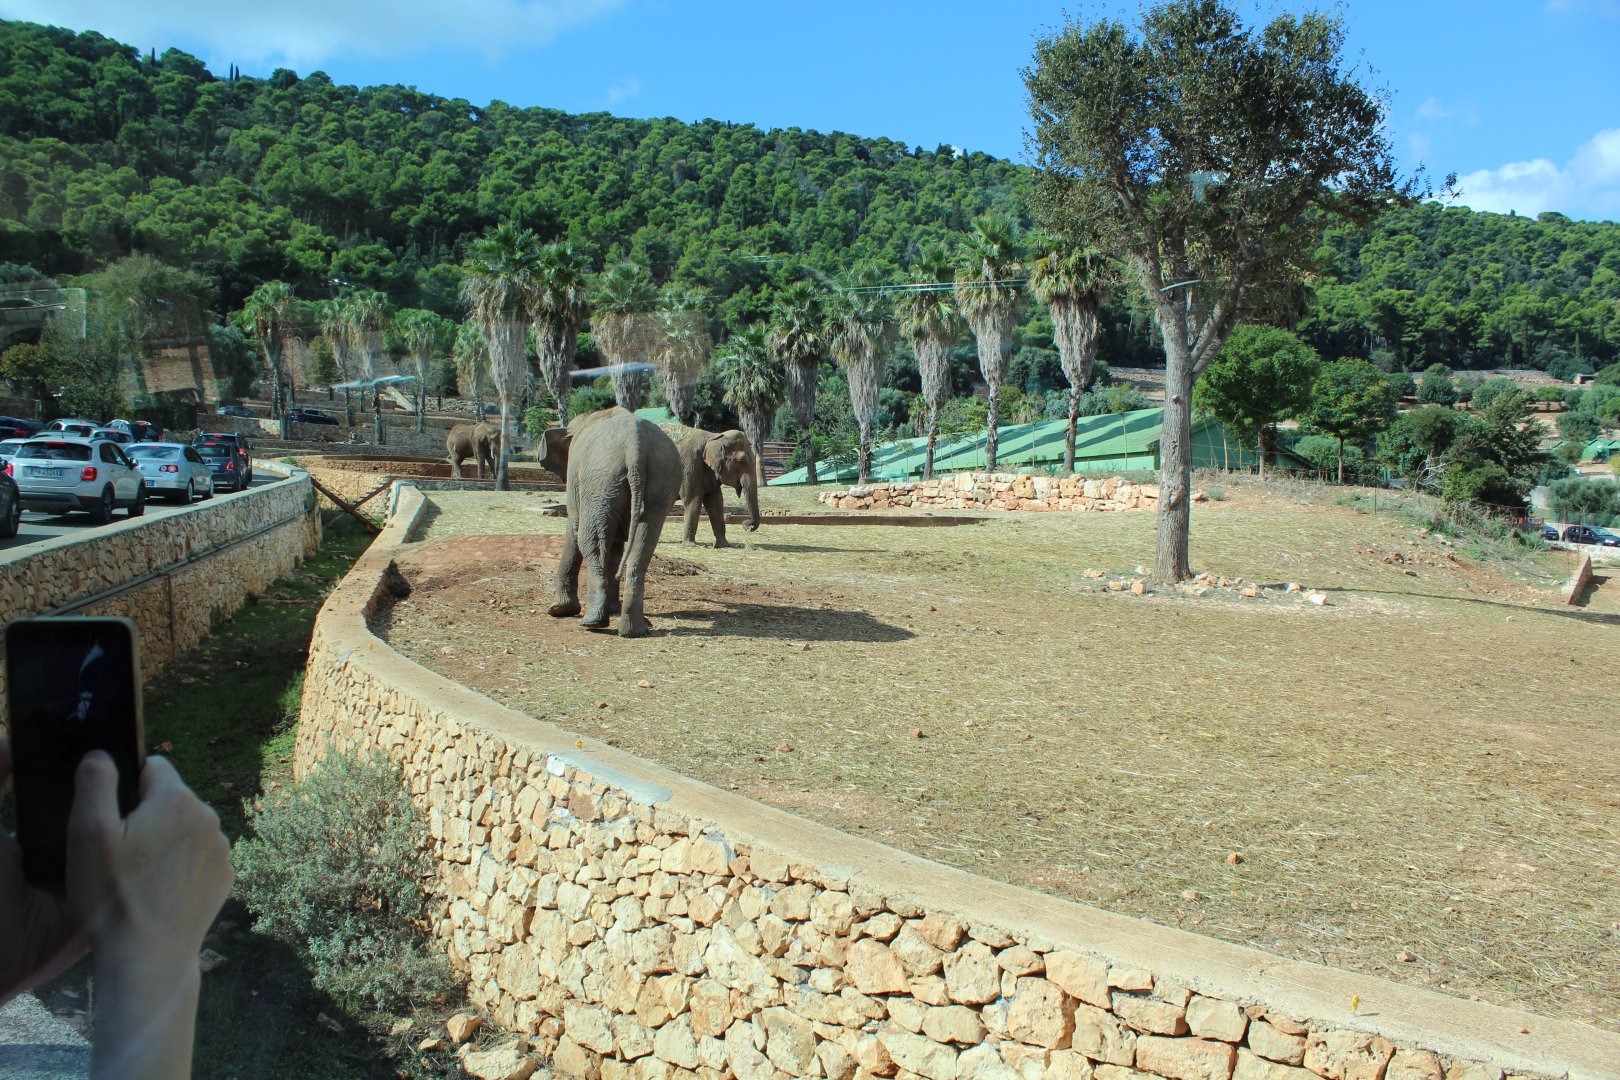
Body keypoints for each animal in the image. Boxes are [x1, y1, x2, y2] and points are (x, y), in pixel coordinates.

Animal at [546, 410, 681, 638]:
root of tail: (635, 445)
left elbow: (574, 529)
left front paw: (559, 610)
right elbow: (616, 544)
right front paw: (613, 609)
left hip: (600, 479)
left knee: (591, 543)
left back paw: (593, 623)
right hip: (660, 480)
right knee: (643, 547)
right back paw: (633, 630)